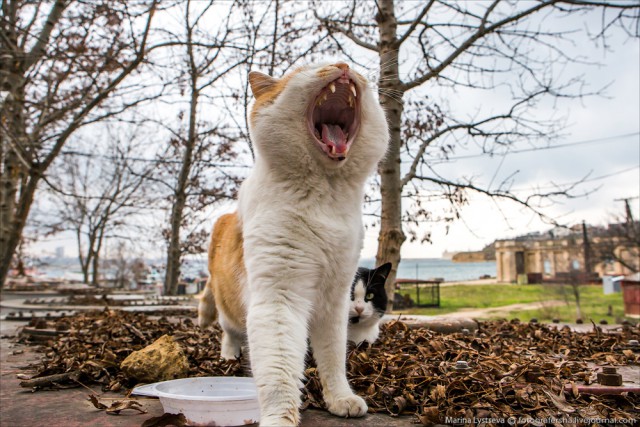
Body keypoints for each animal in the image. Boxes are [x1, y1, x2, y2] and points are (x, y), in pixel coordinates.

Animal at [200, 61, 388, 426]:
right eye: (310, 67)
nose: (343, 64)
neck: (325, 195)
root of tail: (224, 217)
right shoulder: (279, 297)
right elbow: (279, 368)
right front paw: (279, 418)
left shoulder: (335, 300)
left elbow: (333, 357)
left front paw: (340, 398)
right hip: (228, 304)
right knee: (229, 330)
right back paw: (229, 355)